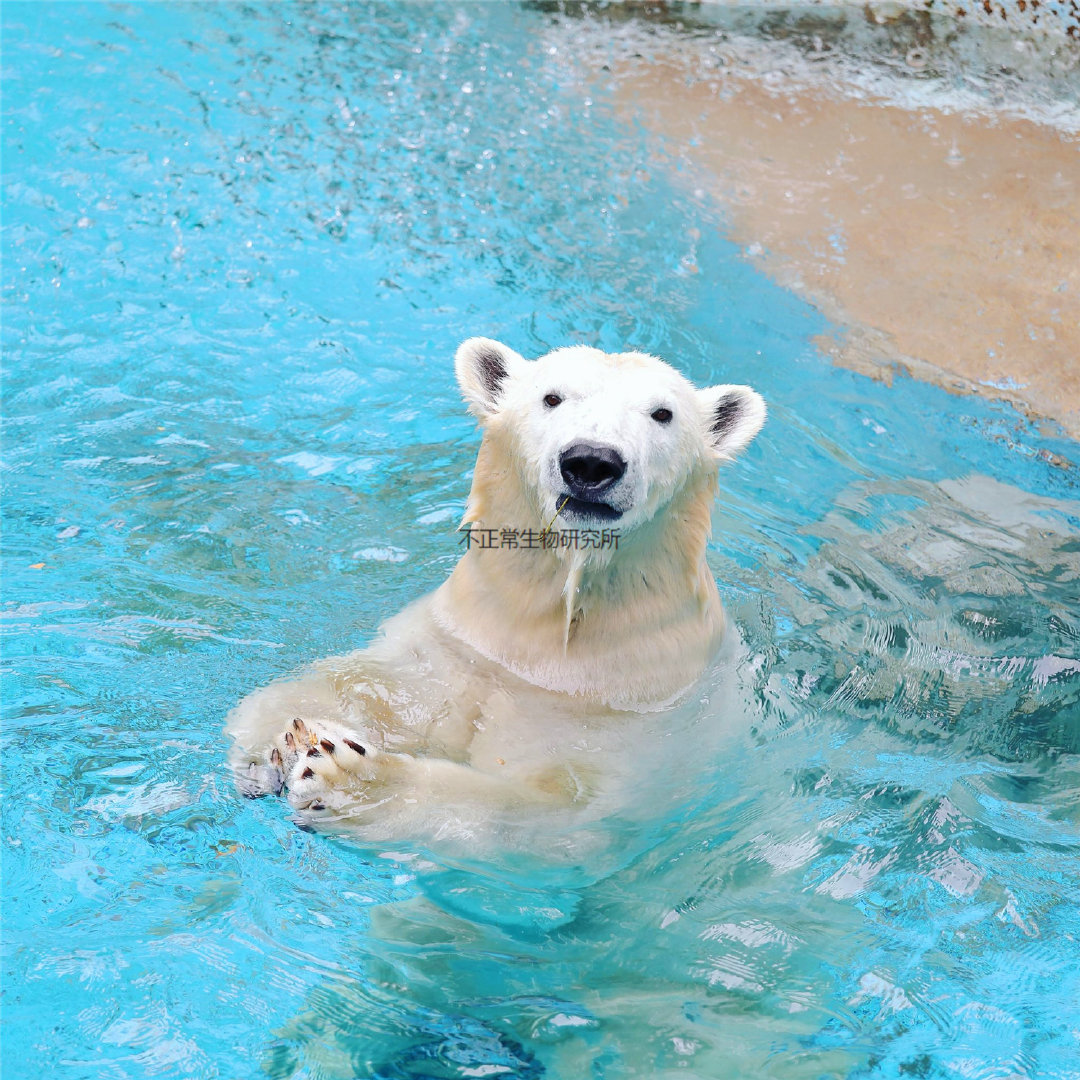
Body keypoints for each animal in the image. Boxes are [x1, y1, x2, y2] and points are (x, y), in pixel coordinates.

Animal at [226, 339, 764, 833]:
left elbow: (549, 812)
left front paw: (350, 779)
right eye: (552, 397)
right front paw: (282, 739)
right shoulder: (463, 640)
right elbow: (372, 682)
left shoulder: (637, 708)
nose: (591, 461)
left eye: (662, 413)